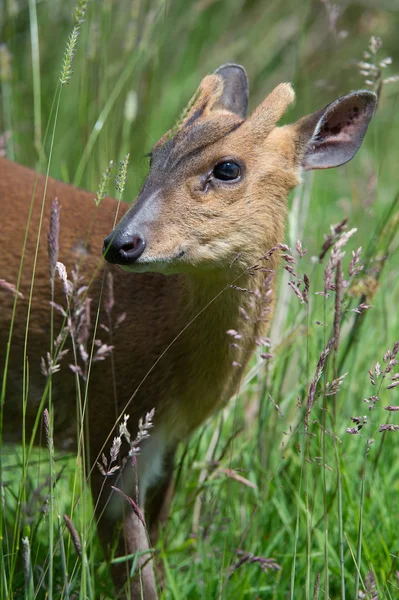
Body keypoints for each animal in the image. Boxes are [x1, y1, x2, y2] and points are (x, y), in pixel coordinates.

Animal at [0, 63, 376, 596]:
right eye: (153, 154)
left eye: (227, 168)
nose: (121, 243)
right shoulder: (104, 414)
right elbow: (131, 566)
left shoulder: (164, 441)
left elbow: (151, 547)